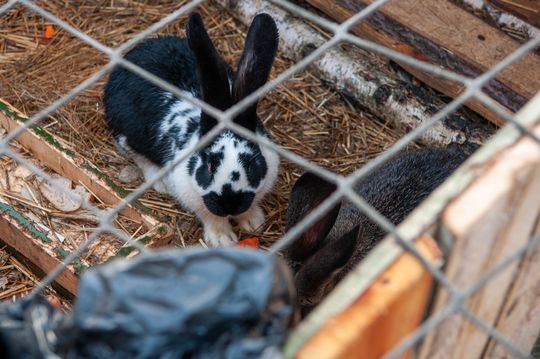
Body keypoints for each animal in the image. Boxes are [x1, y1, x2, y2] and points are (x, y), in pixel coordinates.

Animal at [102, 11, 278, 248]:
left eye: (251, 164)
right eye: (210, 166)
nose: (229, 204)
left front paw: (254, 222)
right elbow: (211, 218)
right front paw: (223, 239)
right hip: (125, 133)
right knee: (138, 156)